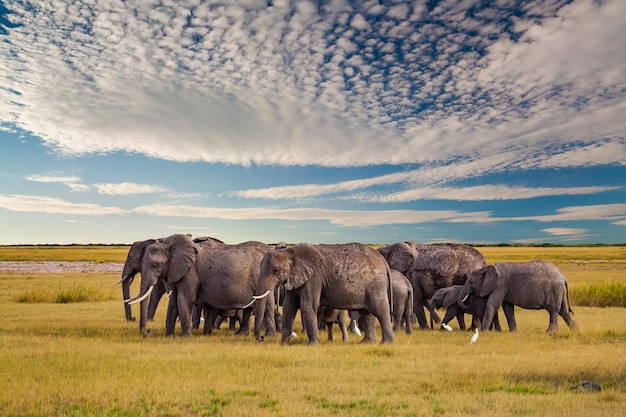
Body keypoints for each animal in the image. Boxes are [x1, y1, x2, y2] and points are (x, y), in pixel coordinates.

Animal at [126, 232, 272, 336]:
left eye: (155, 265)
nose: (147, 331)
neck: (169, 245)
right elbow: (173, 302)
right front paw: (168, 335)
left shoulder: (191, 273)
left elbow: (184, 299)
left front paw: (185, 337)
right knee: (249, 309)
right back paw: (242, 335)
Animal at [250, 242, 392, 342]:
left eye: (275, 270)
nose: (261, 337)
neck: (290, 252)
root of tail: (384, 262)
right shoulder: (295, 277)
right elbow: (289, 306)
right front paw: (284, 344)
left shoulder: (314, 277)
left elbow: (308, 305)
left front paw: (312, 345)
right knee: (367, 313)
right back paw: (366, 343)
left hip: (376, 284)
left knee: (380, 310)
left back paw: (386, 343)